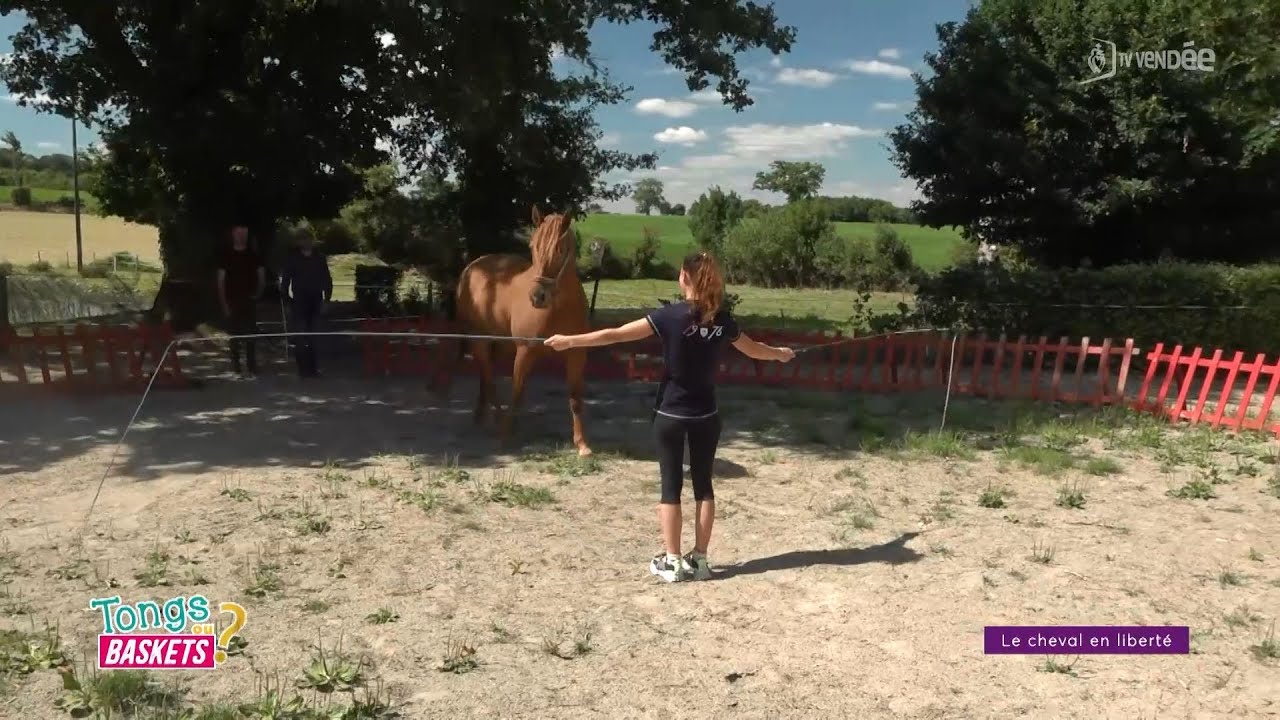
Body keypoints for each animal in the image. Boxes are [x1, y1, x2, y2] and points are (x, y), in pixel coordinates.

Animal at [454, 206, 592, 456]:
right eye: (532, 246)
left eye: (560, 249)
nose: (537, 297)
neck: (559, 308)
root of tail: (472, 266)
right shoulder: (525, 350)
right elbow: (517, 391)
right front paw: (505, 437)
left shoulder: (577, 353)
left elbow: (575, 398)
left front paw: (582, 445)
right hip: (480, 339)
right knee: (488, 377)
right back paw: (498, 420)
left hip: (501, 344)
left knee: (486, 375)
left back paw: (482, 416)